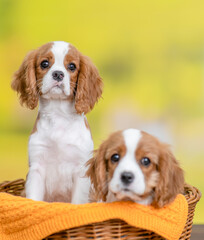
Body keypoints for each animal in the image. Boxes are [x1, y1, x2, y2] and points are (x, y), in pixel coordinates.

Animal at [11, 40, 103, 202]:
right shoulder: (37, 168)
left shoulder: (80, 169)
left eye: (72, 66)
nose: (58, 74)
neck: (58, 113)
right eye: (44, 63)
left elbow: (77, 202)